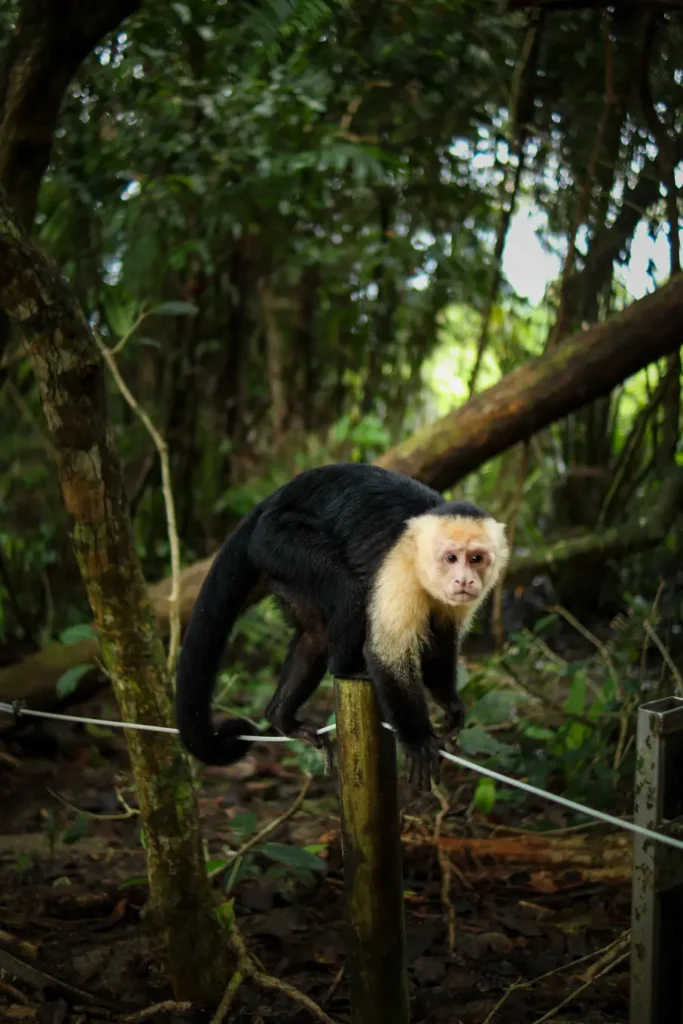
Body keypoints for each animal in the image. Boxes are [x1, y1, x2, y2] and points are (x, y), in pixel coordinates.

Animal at [174, 463, 509, 791]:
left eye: (476, 558)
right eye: (451, 557)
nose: (464, 580)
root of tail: (277, 496)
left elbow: (441, 646)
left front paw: (449, 705)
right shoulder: (400, 568)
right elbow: (386, 654)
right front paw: (417, 740)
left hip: (279, 563)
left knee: (315, 637)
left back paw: (281, 716)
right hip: (279, 539)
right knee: (349, 592)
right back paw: (347, 669)